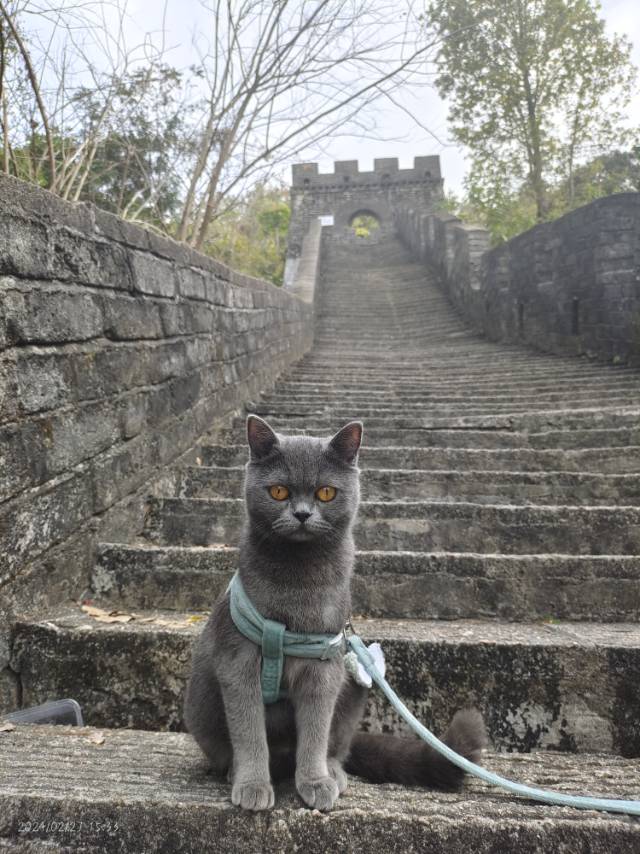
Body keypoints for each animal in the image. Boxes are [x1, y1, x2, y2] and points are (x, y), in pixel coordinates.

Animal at [184, 418, 484, 812]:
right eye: (278, 491)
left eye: (326, 493)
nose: (301, 514)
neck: (298, 587)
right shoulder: (239, 662)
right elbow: (249, 731)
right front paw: (252, 786)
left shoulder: (323, 668)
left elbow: (315, 731)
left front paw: (315, 782)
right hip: (201, 699)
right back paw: (237, 772)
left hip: (352, 682)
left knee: (335, 745)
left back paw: (332, 773)